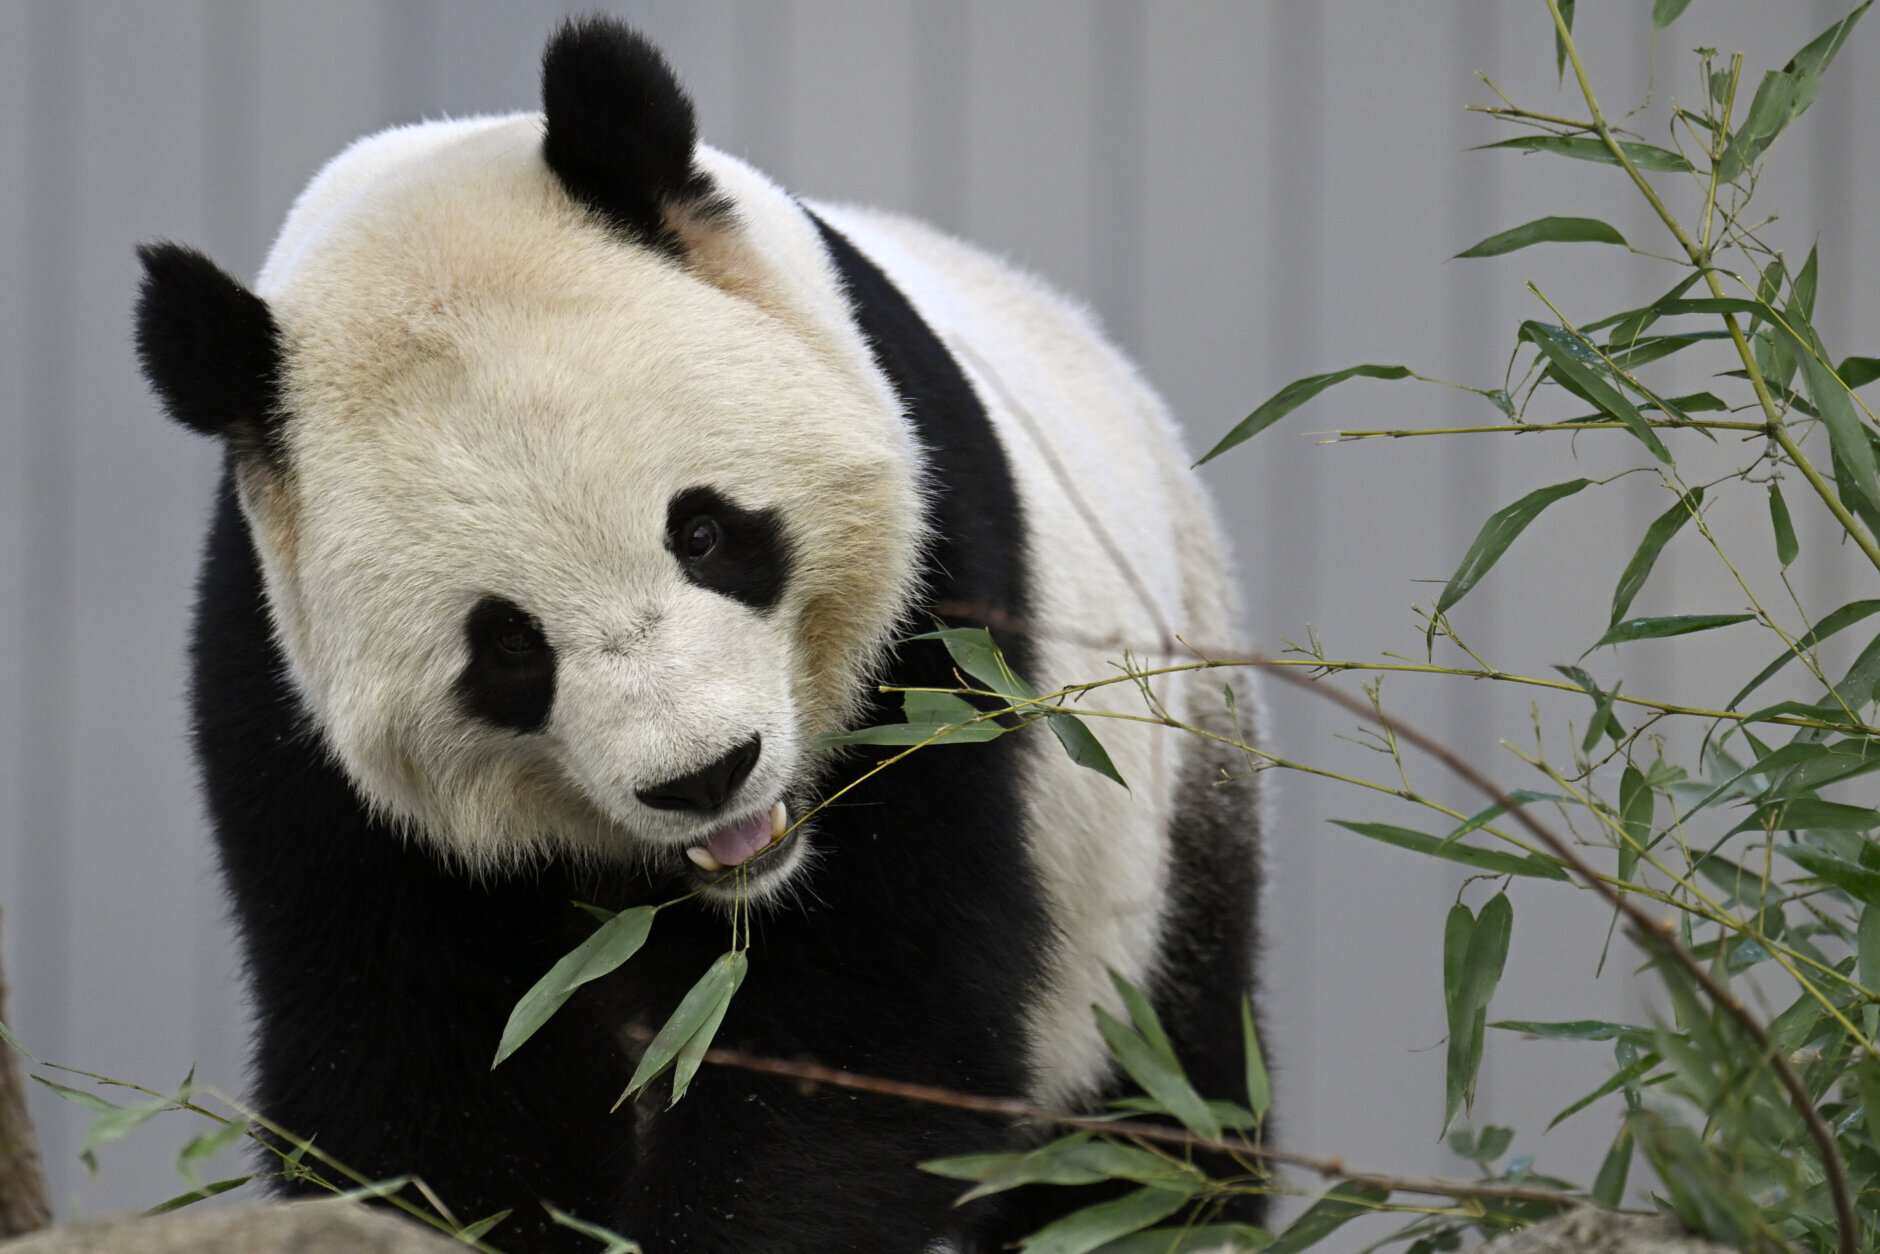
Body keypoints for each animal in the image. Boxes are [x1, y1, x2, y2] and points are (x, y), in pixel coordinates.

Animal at [132, 17, 1263, 1254]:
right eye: (505, 645)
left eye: (706, 532)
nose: (703, 776)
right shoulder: (293, 717)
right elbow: (408, 1066)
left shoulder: (941, 624)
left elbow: (861, 1029)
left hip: (1156, 817)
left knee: (1152, 1125)